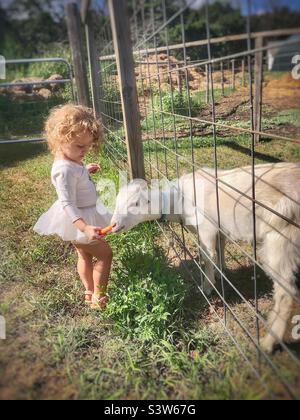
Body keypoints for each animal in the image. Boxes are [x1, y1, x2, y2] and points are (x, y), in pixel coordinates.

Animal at [111, 162, 300, 352]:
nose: (113, 225)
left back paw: (268, 342)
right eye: (117, 201)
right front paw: (220, 271)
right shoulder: (219, 229)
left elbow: (207, 257)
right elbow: (220, 248)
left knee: (286, 294)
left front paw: (207, 287)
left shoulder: (206, 228)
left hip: (282, 238)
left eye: (135, 203)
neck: (178, 201)